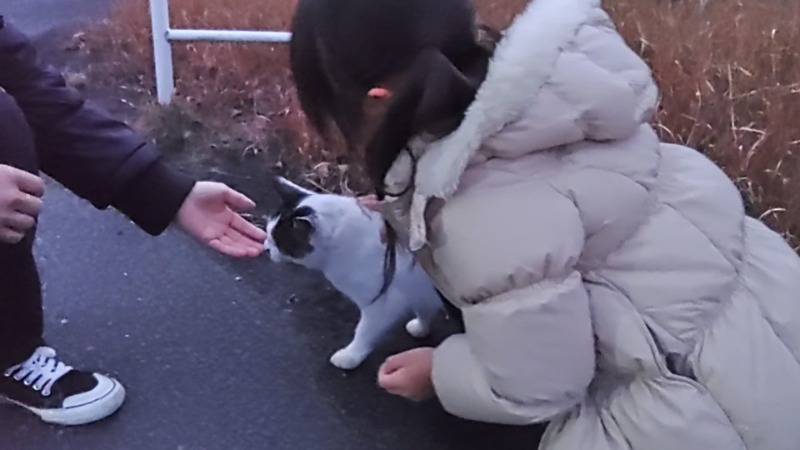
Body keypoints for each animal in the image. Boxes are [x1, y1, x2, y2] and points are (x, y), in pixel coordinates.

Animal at [264, 176, 440, 370]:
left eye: (277, 242)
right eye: (267, 233)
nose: (265, 248)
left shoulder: (382, 304)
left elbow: (364, 332)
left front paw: (350, 356)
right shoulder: (418, 292)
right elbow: (424, 309)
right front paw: (420, 328)